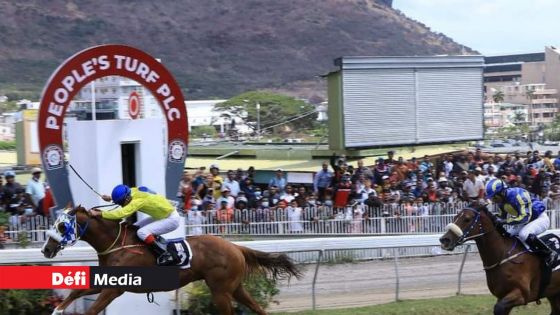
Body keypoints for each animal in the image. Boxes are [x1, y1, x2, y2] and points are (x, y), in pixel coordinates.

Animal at [40, 206, 302, 314]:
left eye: (62, 226)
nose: (46, 249)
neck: (117, 244)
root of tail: (235, 246)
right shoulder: (107, 281)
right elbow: (76, 291)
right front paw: (58, 310)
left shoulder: (115, 289)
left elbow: (92, 310)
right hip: (234, 288)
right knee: (257, 308)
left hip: (220, 291)